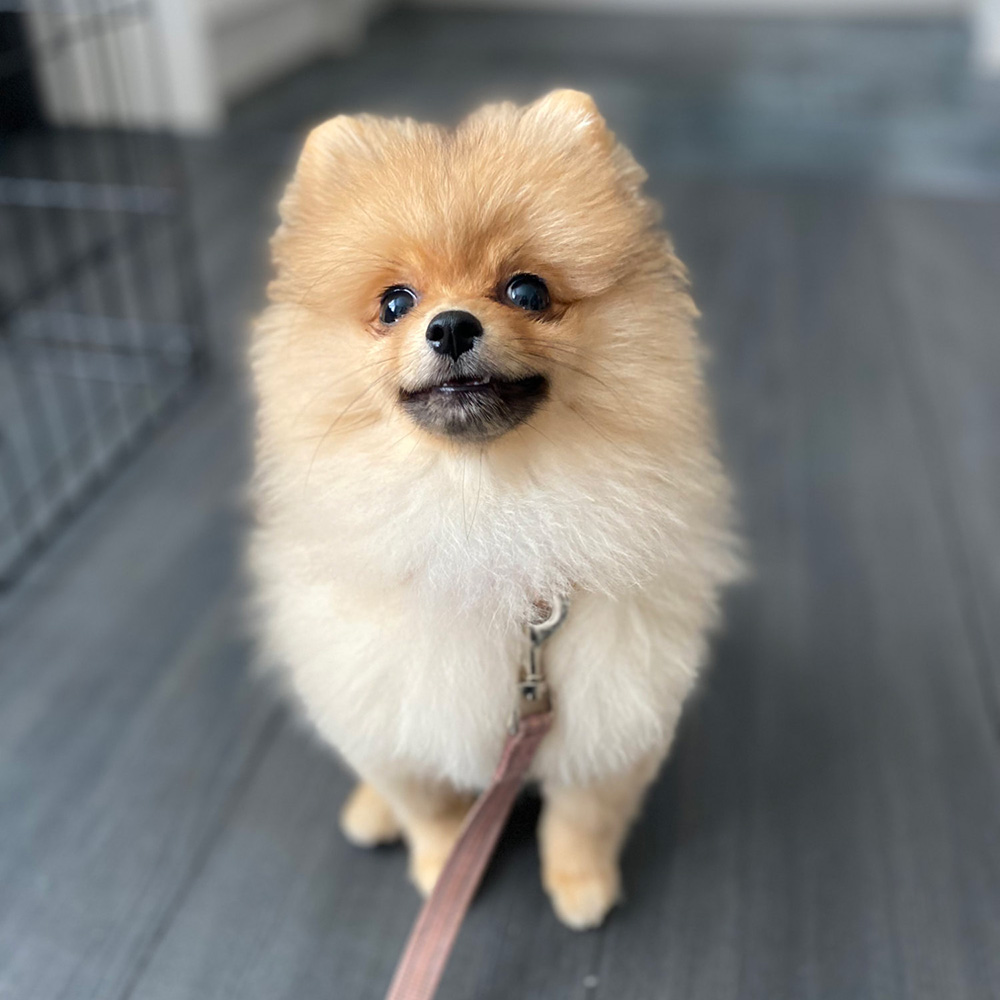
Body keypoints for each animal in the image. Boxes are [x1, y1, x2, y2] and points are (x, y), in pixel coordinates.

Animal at [246, 92, 740, 928]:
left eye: (527, 291)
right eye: (395, 302)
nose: (449, 325)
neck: (483, 505)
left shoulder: (611, 701)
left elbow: (583, 815)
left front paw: (581, 885)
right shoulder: (387, 700)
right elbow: (429, 807)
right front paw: (443, 869)